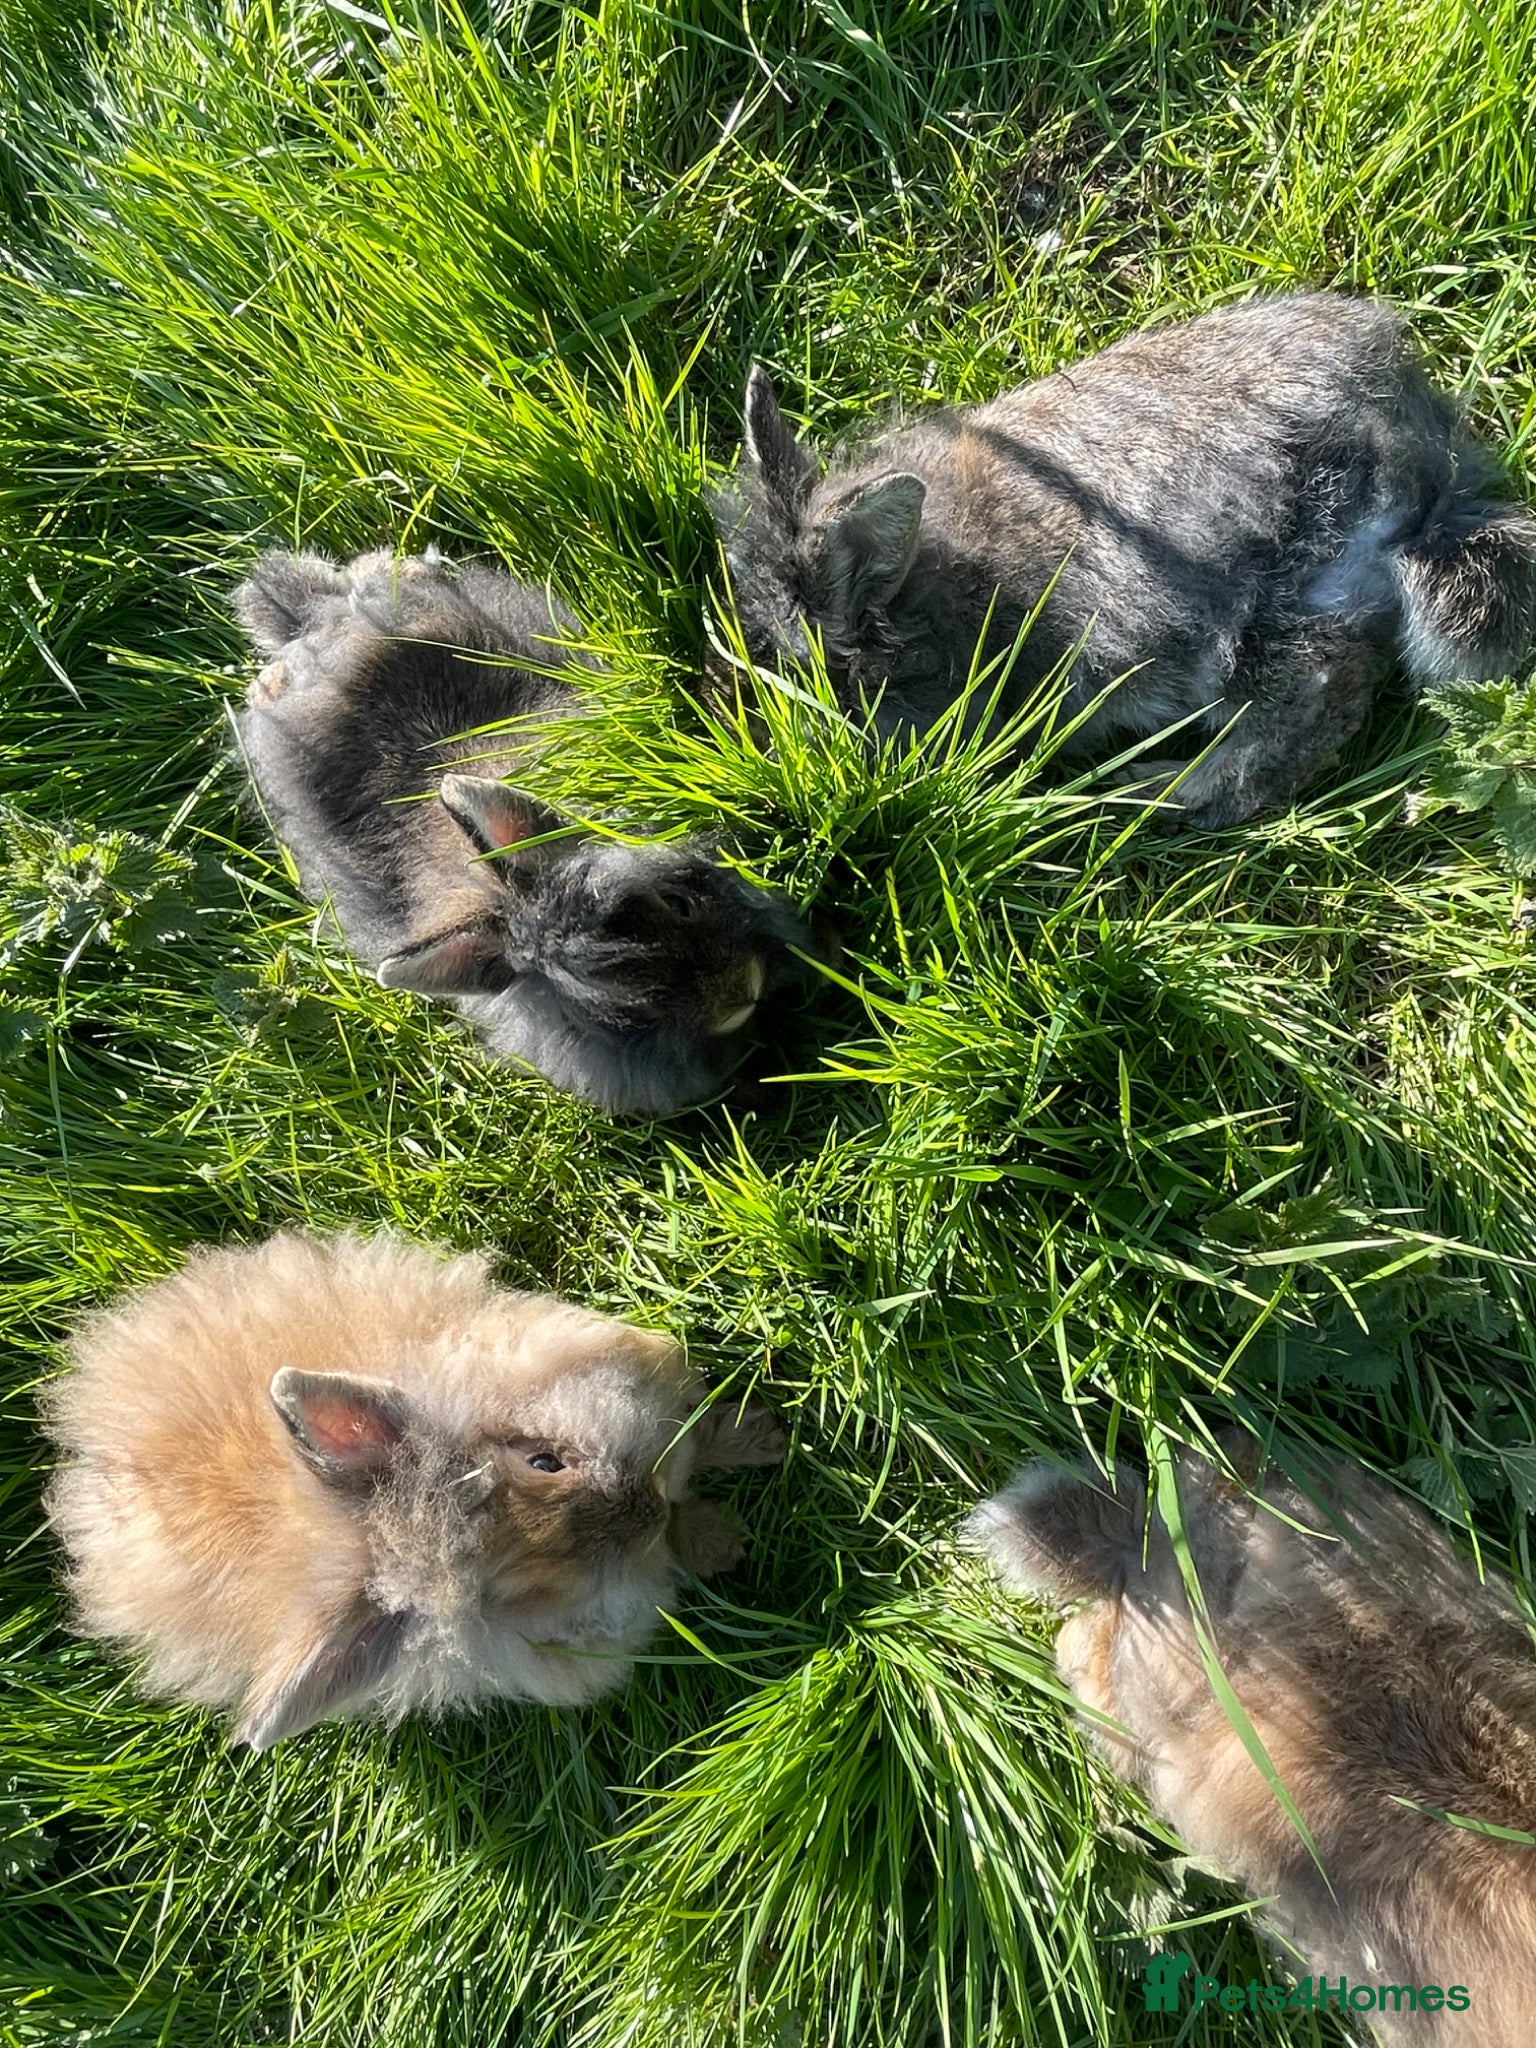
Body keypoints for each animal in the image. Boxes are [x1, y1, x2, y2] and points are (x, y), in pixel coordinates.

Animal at [42, 1230, 785, 1750]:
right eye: (517, 1591)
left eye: (545, 1460)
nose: (643, 1514)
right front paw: (725, 1541)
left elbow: (701, 1436)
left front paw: (762, 1435)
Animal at [713, 291, 1536, 828]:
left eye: (783, 669)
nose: (736, 726)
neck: (932, 594)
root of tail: (1426, 471)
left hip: (1279, 608)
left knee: (1292, 728)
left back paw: (1138, 791)